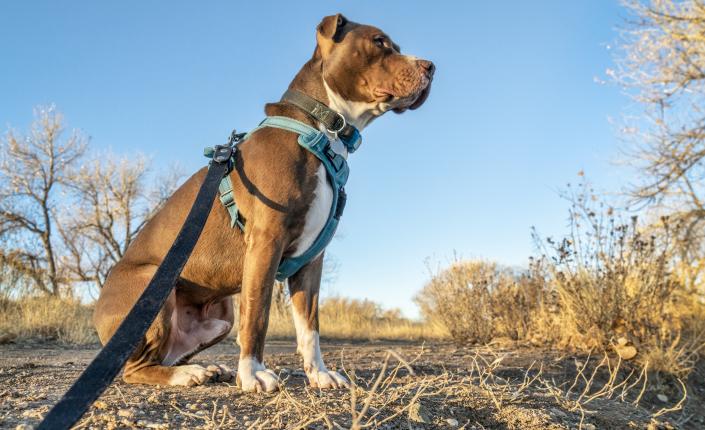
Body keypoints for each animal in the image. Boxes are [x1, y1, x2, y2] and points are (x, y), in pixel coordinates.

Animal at [93, 12, 432, 394]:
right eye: (379, 42)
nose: (431, 67)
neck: (321, 129)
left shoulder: (310, 261)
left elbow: (310, 326)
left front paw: (319, 374)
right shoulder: (266, 242)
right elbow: (257, 314)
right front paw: (253, 373)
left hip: (220, 316)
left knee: (165, 355)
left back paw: (205, 368)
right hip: (153, 288)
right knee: (135, 368)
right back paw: (186, 374)